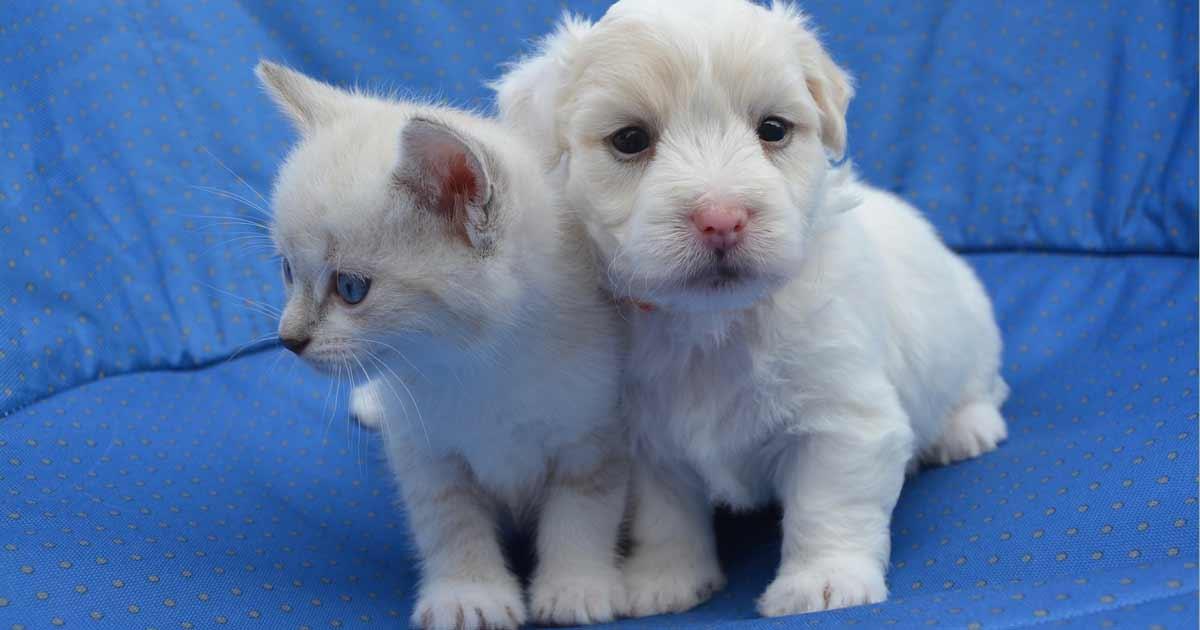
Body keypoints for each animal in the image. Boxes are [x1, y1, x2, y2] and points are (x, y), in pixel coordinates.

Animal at [259, 61, 633, 624]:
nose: (289, 338)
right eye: (287, 271)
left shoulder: (595, 433)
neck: (475, 365)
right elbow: (451, 525)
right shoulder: (425, 453)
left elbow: (582, 513)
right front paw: (470, 594)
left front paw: (575, 587)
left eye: (351, 288)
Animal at [492, 0, 1008, 614]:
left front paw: (823, 582)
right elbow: (666, 515)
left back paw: (966, 428)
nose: (722, 218)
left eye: (773, 129)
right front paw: (666, 578)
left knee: (983, 384)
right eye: (630, 139)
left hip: (969, 323)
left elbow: (828, 506)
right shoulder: (644, 441)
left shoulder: (843, 419)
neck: (713, 323)